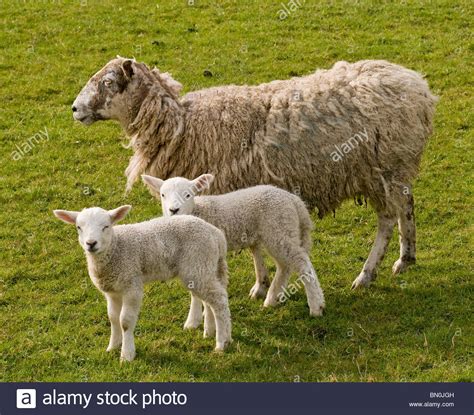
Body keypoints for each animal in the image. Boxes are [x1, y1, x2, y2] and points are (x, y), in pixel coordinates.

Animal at [53, 206, 231, 362]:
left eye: (106, 226)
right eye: (79, 227)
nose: (91, 243)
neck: (115, 248)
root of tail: (216, 234)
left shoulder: (132, 285)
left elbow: (125, 321)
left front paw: (127, 354)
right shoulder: (112, 291)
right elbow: (113, 318)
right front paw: (113, 347)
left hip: (198, 263)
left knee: (219, 300)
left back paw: (221, 343)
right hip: (203, 267)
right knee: (209, 299)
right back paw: (210, 331)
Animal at [72, 57, 438, 290]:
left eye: (108, 83)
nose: (75, 108)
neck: (182, 125)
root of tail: (417, 86)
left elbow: (252, 247)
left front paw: (260, 285)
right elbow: (254, 245)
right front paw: (262, 283)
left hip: (386, 167)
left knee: (390, 217)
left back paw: (373, 271)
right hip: (385, 171)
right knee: (402, 209)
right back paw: (402, 259)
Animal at [141, 174, 326, 320]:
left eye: (188, 194)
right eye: (162, 195)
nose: (174, 210)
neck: (198, 210)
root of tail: (294, 201)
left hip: (278, 228)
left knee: (301, 262)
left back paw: (316, 306)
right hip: (282, 231)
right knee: (285, 265)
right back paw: (271, 299)